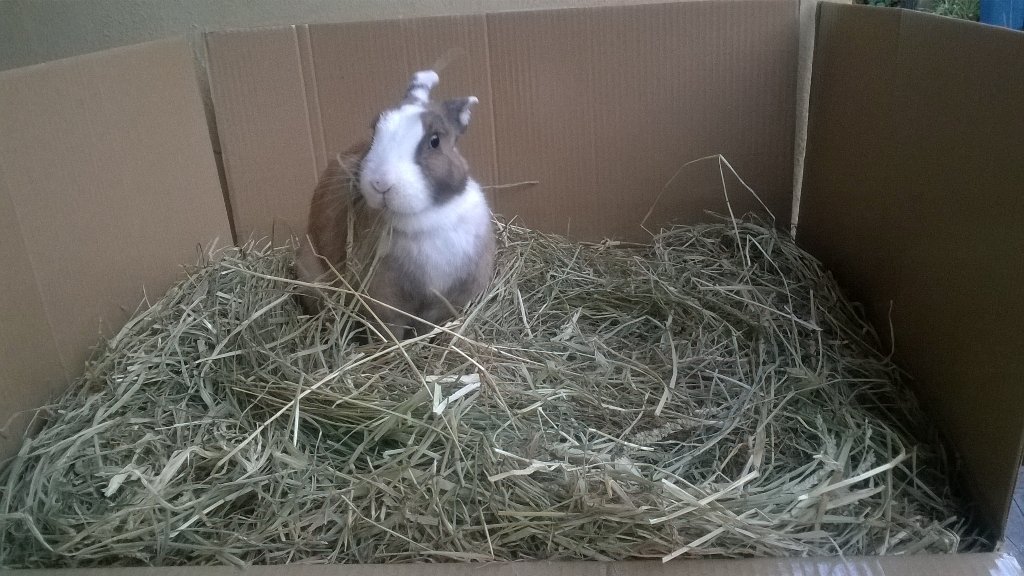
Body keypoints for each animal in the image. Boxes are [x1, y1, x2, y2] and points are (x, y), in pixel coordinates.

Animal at [295, 70, 496, 342]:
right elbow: (391, 333)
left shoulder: (444, 304)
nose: (381, 183)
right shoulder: (385, 304)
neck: (426, 215)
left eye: (435, 141)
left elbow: (427, 328)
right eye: (374, 132)